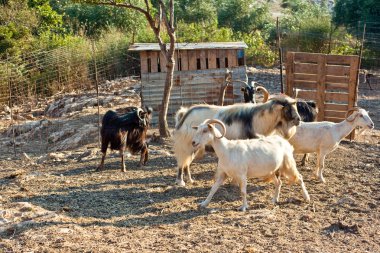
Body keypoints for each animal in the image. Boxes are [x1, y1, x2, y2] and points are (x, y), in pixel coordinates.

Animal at [174, 96, 302, 186]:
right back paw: (181, 182)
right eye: (288, 108)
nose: (298, 120)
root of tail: (184, 115)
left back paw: (191, 180)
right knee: (181, 163)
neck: (255, 119)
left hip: (194, 146)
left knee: (186, 163)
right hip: (185, 145)